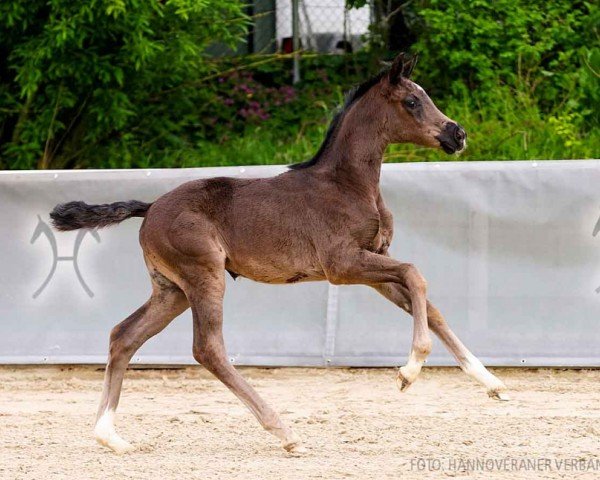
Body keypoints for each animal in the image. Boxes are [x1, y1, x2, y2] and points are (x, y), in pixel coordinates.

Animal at [50, 54, 506, 456]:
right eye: (412, 101)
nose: (457, 134)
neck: (348, 185)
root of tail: (150, 208)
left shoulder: (373, 263)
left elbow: (428, 304)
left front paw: (491, 383)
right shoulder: (343, 265)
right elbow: (416, 274)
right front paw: (409, 371)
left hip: (171, 290)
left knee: (123, 335)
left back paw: (110, 436)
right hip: (204, 277)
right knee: (207, 349)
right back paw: (286, 433)